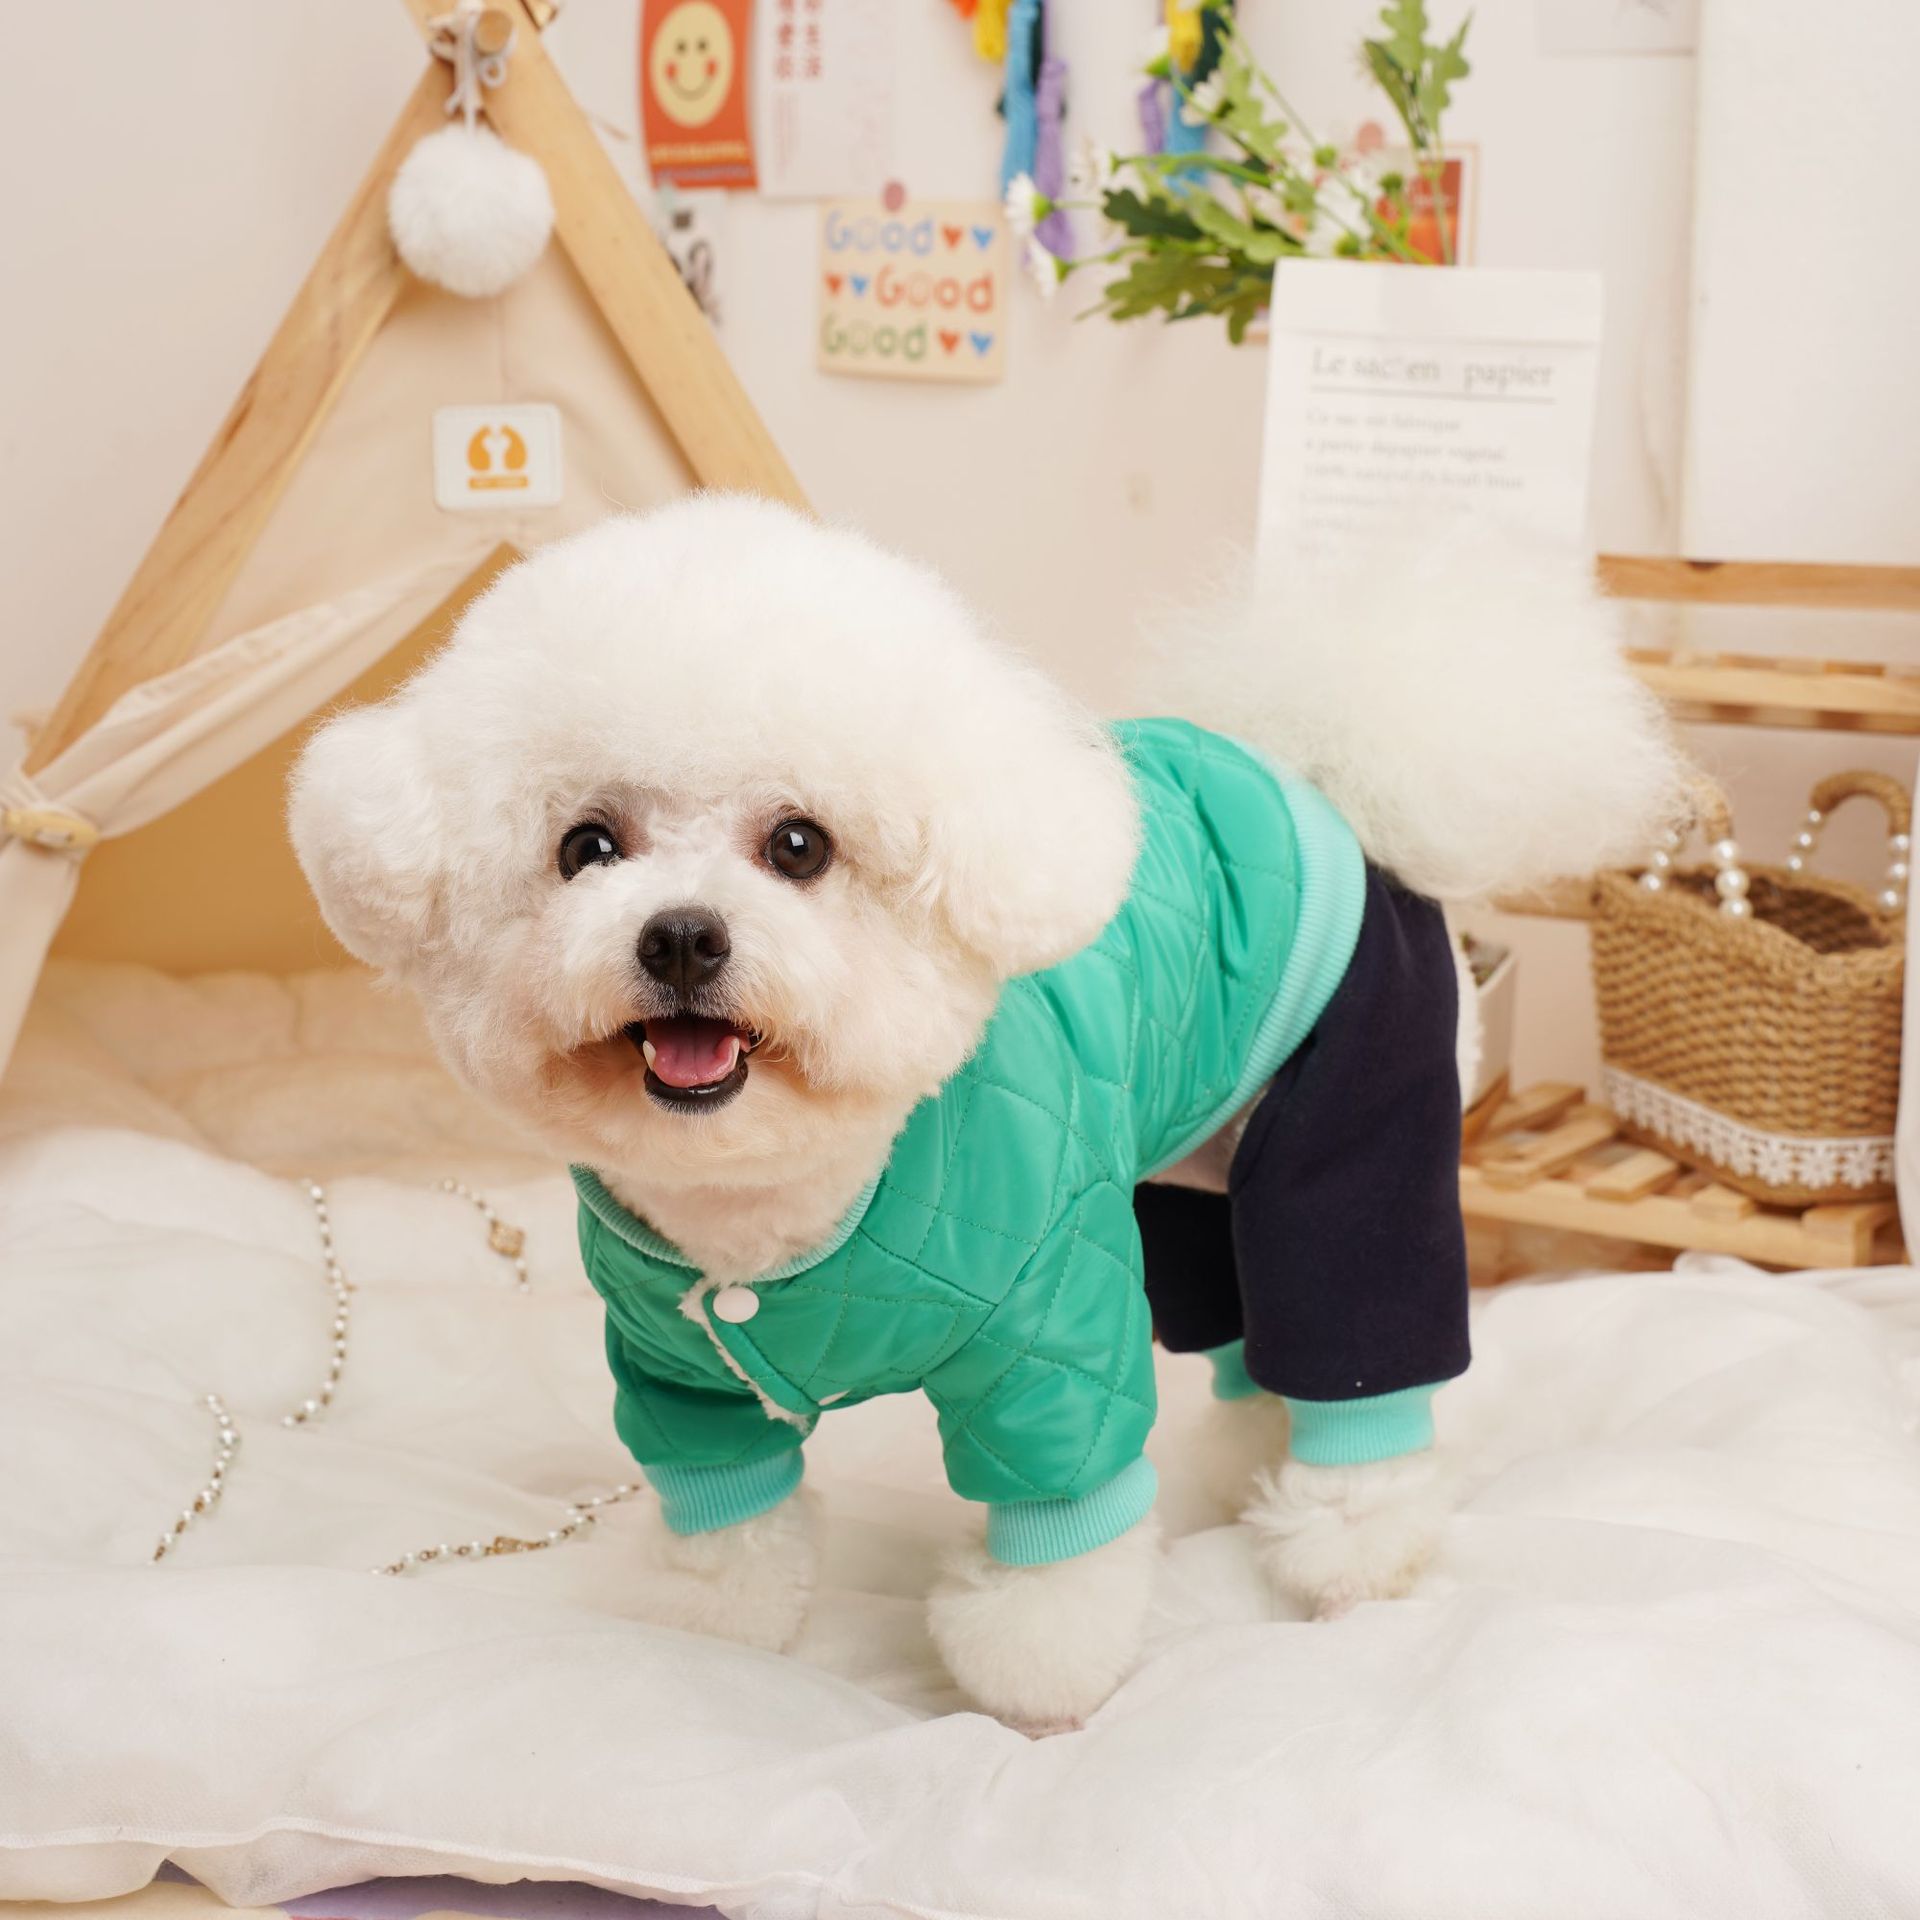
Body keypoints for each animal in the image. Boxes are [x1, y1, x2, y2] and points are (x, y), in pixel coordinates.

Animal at [290, 496, 1683, 1731]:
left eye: (800, 845)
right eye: (586, 847)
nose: (681, 935)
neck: (785, 1204)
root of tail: (1323, 772)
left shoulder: (1050, 1333)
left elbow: (1059, 1532)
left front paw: (1042, 1685)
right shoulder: (676, 1368)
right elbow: (728, 1517)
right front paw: (717, 1628)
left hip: (1358, 1100)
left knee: (1353, 1327)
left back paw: (1348, 1545)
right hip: (1191, 1178)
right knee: (1249, 1342)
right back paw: (1238, 1480)